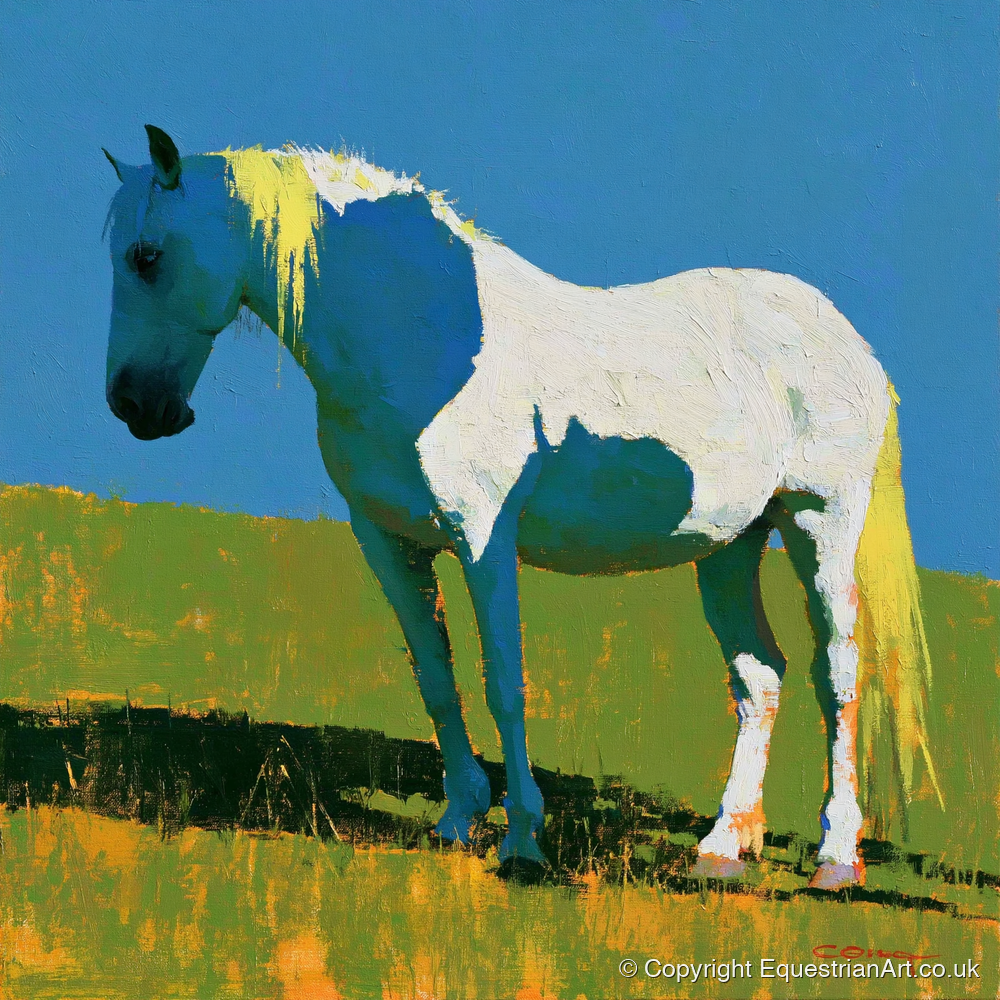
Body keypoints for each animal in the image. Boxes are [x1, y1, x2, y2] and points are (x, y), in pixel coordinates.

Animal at [102, 125, 938, 889]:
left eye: (145, 257)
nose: (134, 406)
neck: (424, 336)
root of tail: (845, 337)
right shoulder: (388, 542)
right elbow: (436, 680)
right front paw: (457, 820)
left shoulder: (484, 540)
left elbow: (504, 681)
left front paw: (523, 840)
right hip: (729, 546)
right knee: (760, 678)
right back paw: (723, 846)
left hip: (817, 523)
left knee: (838, 675)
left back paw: (835, 859)